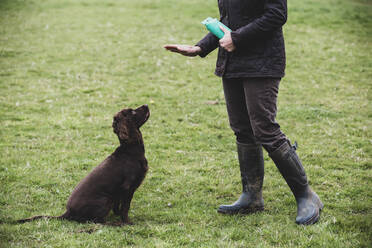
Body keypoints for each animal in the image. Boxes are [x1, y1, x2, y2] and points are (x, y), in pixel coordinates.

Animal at [18, 104, 150, 225]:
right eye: (132, 112)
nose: (146, 105)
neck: (130, 150)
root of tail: (68, 212)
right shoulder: (127, 187)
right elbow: (125, 207)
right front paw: (127, 222)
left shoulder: (119, 191)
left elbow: (118, 206)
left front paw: (118, 216)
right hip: (105, 200)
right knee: (97, 221)